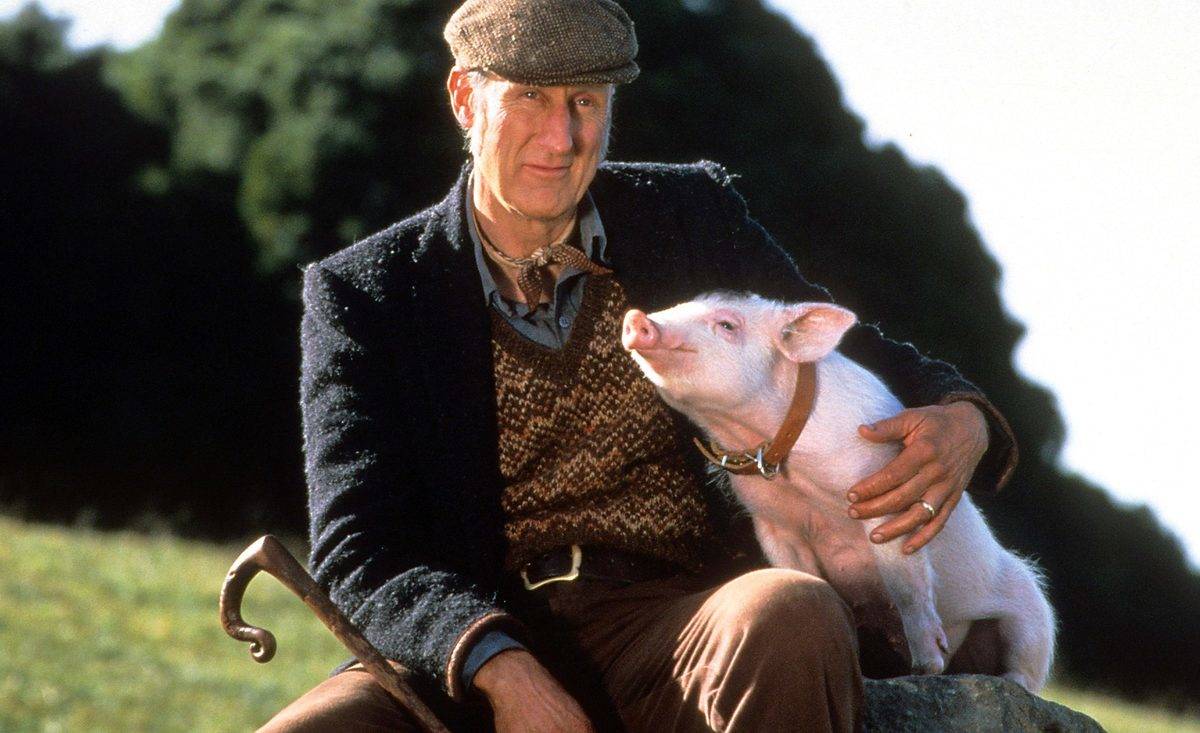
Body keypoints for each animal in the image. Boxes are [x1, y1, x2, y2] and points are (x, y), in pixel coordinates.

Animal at [621, 293, 1055, 692]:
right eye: (680, 305)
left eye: (727, 325)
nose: (638, 318)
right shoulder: (773, 523)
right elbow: (800, 574)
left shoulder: (884, 495)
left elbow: (906, 582)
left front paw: (926, 666)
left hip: (1034, 612)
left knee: (1027, 664)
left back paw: (996, 680)